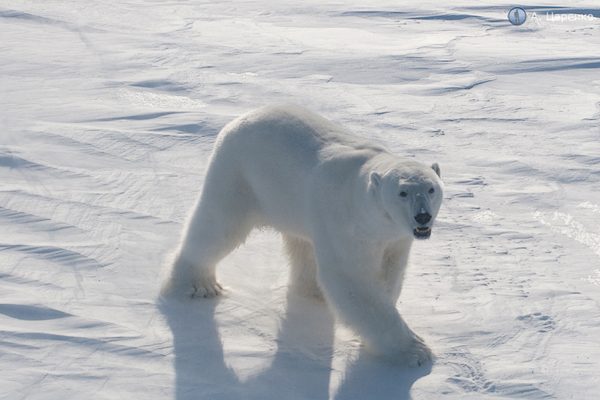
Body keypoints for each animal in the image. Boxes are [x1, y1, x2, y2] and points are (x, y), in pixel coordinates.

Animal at [162, 103, 442, 366]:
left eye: (431, 188)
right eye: (403, 192)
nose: (422, 217)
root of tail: (241, 118)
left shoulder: (394, 238)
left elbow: (389, 273)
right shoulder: (344, 220)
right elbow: (353, 280)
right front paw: (415, 351)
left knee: (302, 244)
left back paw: (314, 291)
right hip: (240, 174)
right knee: (218, 226)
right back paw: (200, 284)